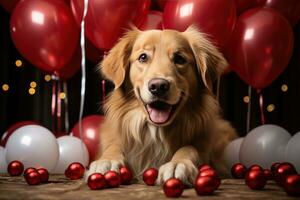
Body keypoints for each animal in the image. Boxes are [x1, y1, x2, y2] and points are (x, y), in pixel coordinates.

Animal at [86, 27, 237, 186]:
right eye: (143, 57)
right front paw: (107, 161)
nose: (158, 86)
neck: (156, 131)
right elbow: (113, 146)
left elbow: (189, 147)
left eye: (179, 59)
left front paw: (178, 164)